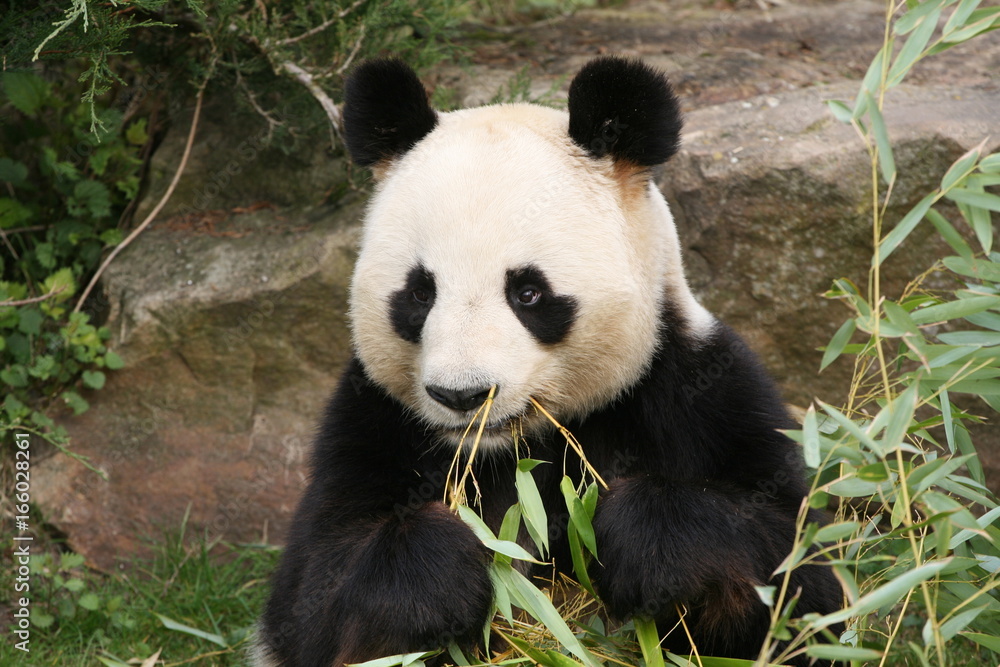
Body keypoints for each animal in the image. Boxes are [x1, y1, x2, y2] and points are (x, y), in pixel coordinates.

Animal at [255, 56, 842, 667]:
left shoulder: (696, 391)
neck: (514, 449)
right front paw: (444, 568)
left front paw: (646, 539)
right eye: (419, 293)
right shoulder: (370, 422)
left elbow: (799, 578)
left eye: (528, 293)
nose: (463, 395)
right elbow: (315, 600)